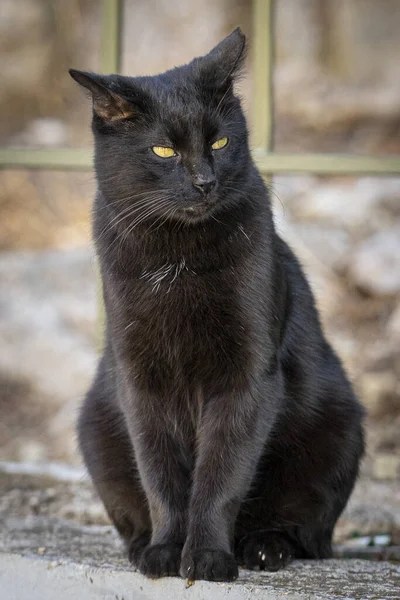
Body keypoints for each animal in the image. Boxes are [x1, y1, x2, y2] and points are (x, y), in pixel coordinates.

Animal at [70, 28, 364, 580]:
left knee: (304, 529)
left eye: (221, 142)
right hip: (95, 425)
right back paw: (141, 547)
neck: (178, 259)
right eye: (163, 150)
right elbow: (161, 475)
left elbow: (221, 475)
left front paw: (207, 557)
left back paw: (263, 548)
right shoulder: (140, 379)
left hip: (339, 427)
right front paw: (167, 551)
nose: (204, 181)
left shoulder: (247, 376)